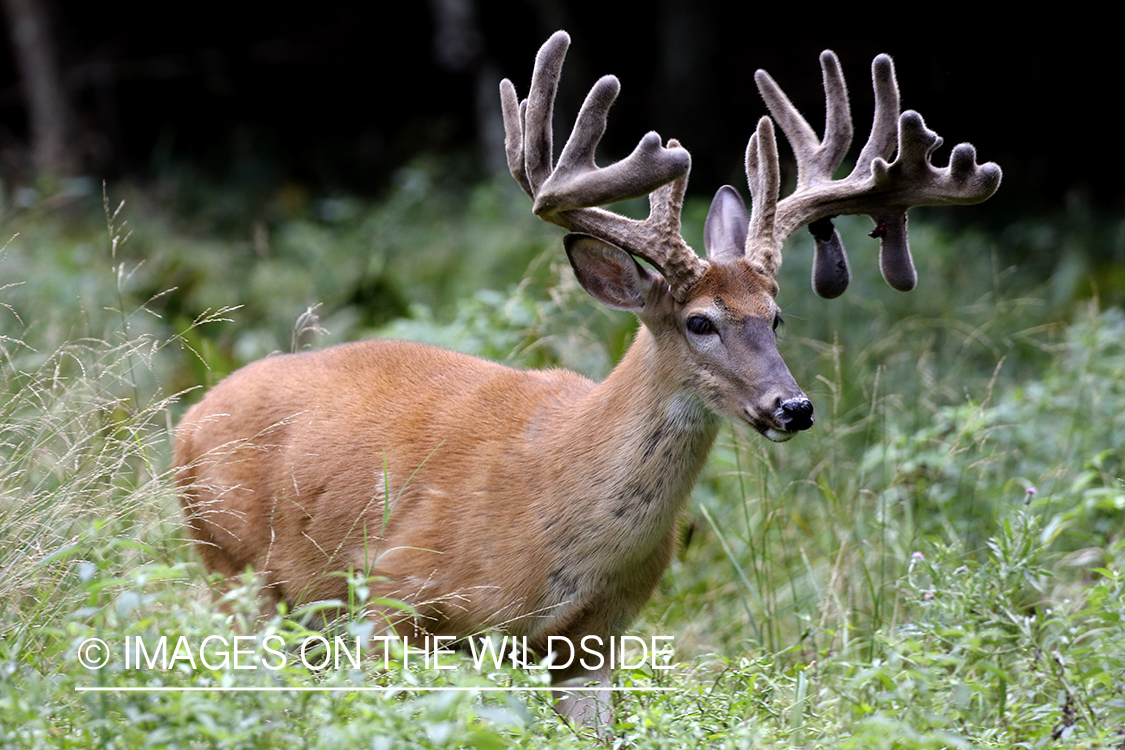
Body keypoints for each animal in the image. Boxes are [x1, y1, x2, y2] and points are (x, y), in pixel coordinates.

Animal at [175, 32, 1003, 737]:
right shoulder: (390, 596)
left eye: (775, 316)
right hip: (232, 565)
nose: (791, 407)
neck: (554, 500)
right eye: (699, 322)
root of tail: (189, 419)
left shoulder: (594, 640)